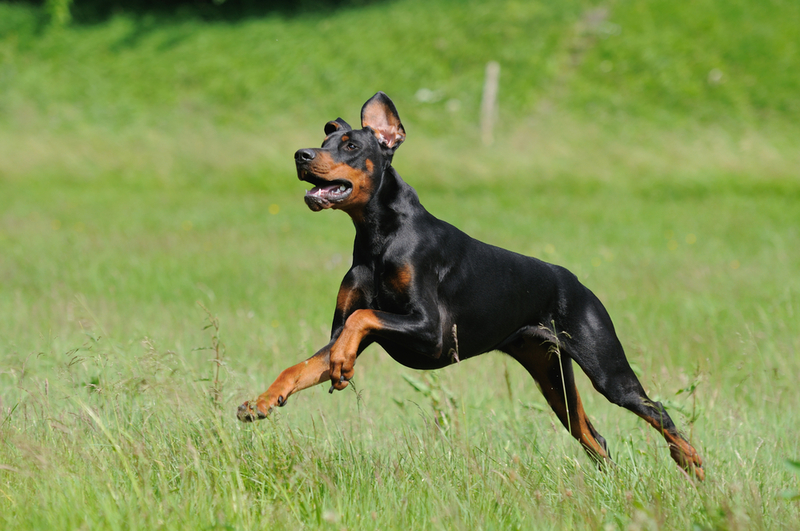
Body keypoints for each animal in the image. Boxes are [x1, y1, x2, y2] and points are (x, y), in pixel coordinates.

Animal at [239, 92, 708, 482]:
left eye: (351, 146)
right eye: (327, 138)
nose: (301, 155)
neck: (378, 237)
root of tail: (574, 280)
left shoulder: (431, 331)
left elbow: (363, 317)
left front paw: (340, 366)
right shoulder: (348, 330)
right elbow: (302, 364)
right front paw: (263, 401)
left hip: (607, 370)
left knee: (657, 411)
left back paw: (693, 463)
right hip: (551, 376)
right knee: (593, 437)